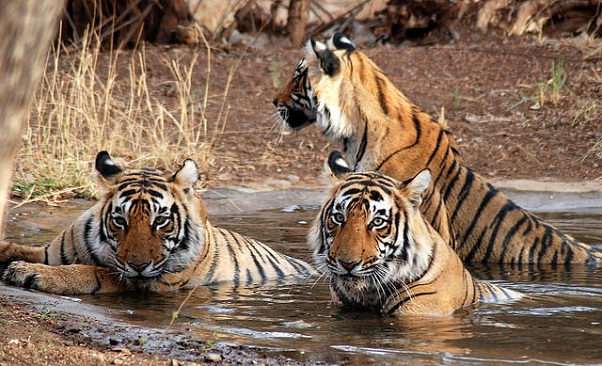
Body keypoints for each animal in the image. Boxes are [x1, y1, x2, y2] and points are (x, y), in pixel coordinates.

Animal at [0, 151, 316, 294]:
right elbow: (16, 248)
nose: (139, 265)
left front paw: (29, 273)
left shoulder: (147, 281)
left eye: (161, 221)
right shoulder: (49, 252)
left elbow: (91, 271)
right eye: (120, 221)